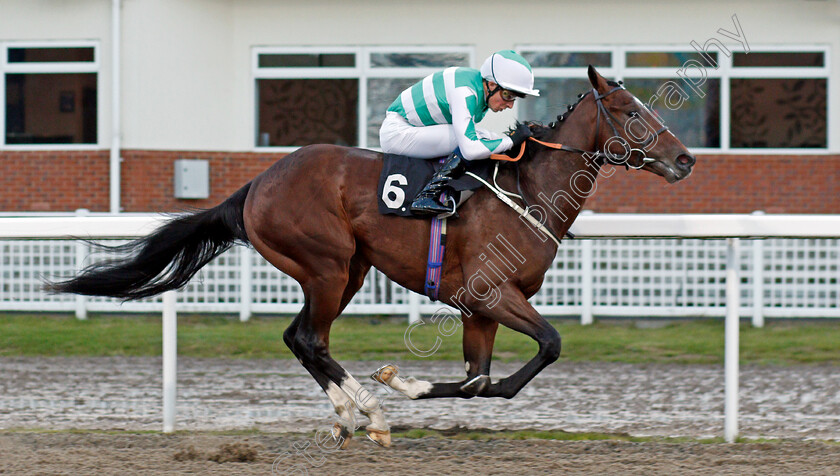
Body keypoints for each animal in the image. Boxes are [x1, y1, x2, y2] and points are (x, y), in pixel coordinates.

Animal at [50, 66, 696, 446]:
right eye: (632, 113)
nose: (686, 159)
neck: (528, 192)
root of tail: (257, 184)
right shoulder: (491, 293)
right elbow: (546, 348)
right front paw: (396, 388)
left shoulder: (479, 309)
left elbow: (479, 381)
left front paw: (405, 384)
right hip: (328, 265)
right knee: (310, 338)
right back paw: (371, 415)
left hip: (349, 272)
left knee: (300, 338)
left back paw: (350, 414)